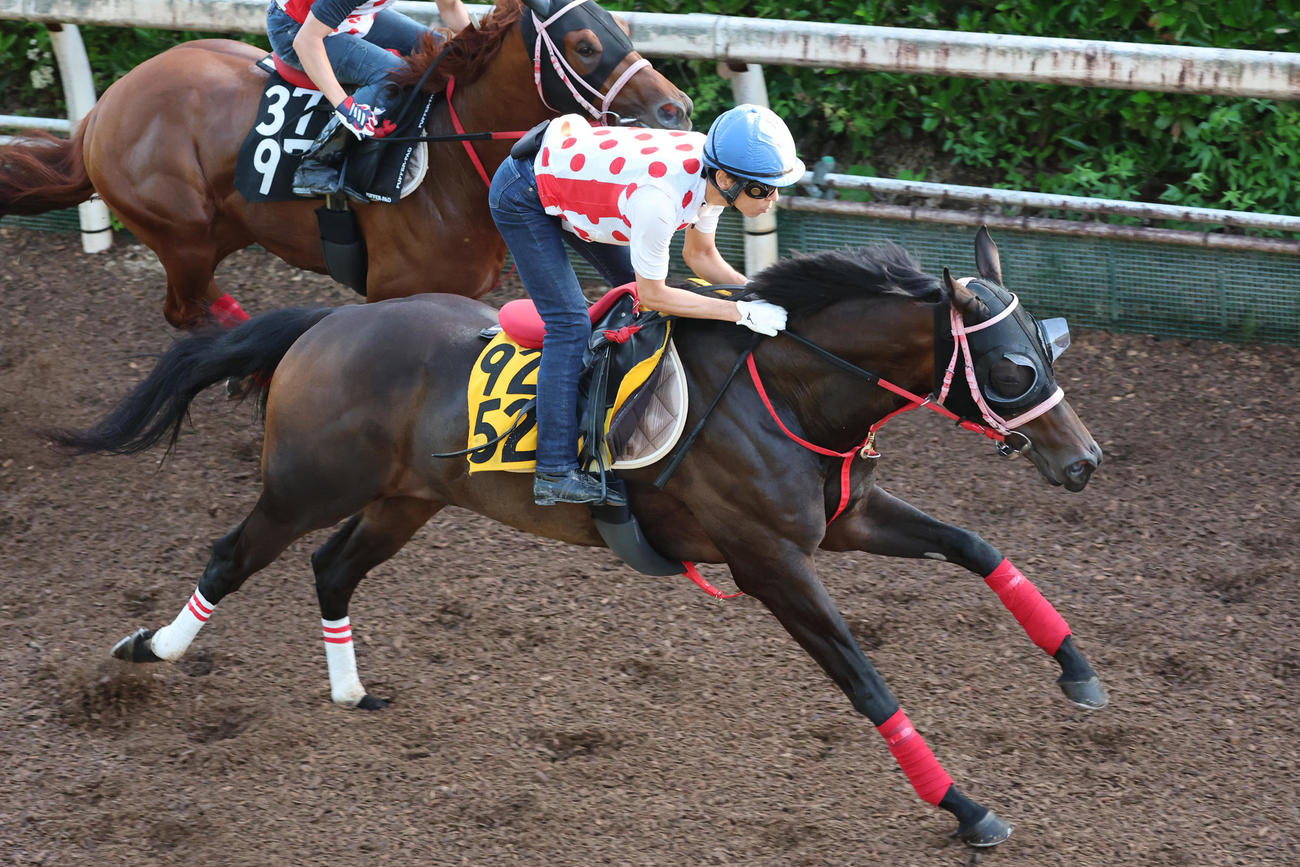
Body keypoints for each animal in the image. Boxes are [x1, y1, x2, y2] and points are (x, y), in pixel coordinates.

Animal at [0, 0, 691, 328]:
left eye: (623, 25)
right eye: (585, 45)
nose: (677, 108)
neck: (450, 157)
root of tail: (103, 109)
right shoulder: (396, 293)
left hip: (223, 228)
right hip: (182, 234)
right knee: (183, 310)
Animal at [49, 228, 1105, 847]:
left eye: (1051, 347)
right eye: (1013, 368)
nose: (1085, 461)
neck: (790, 388)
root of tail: (323, 326)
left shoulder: (844, 521)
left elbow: (978, 549)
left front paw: (1077, 670)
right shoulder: (768, 559)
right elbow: (865, 678)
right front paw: (965, 806)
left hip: (406, 498)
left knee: (331, 564)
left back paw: (350, 691)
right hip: (308, 481)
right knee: (235, 555)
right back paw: (150, 648)